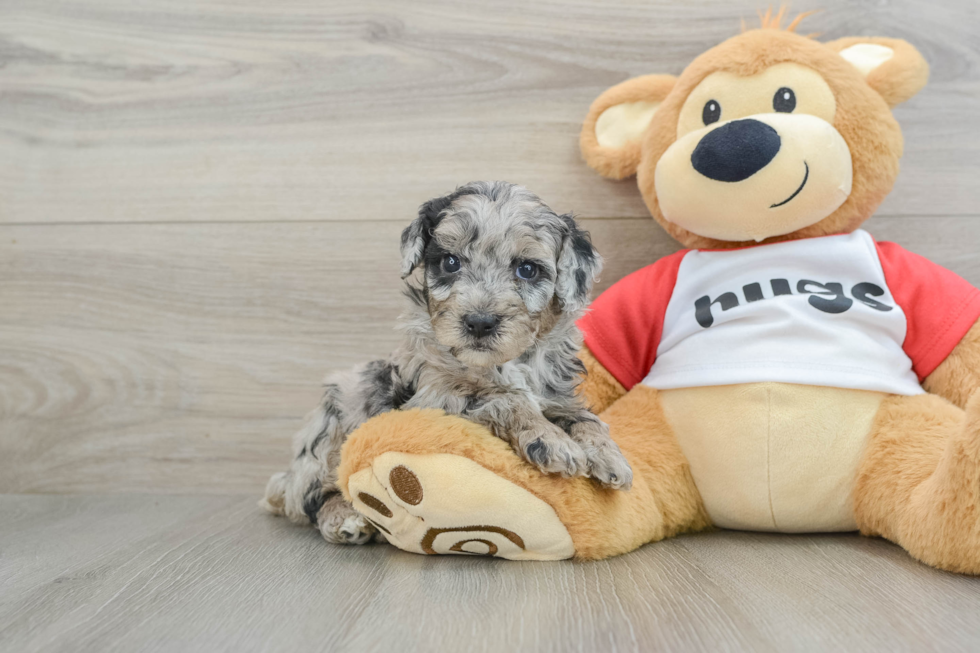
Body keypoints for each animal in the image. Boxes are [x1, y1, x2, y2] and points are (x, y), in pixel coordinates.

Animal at [266, 181, 636, 544]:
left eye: (527, 269)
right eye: (450, 262)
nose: (479, 322)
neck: (499, 363)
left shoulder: (556, 395)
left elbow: (584, 417)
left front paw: (609, 455)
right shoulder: (435, 400)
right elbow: (505, 398)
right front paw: (552, 441)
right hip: (334, 421)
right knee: (312, 500)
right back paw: (345, 520)